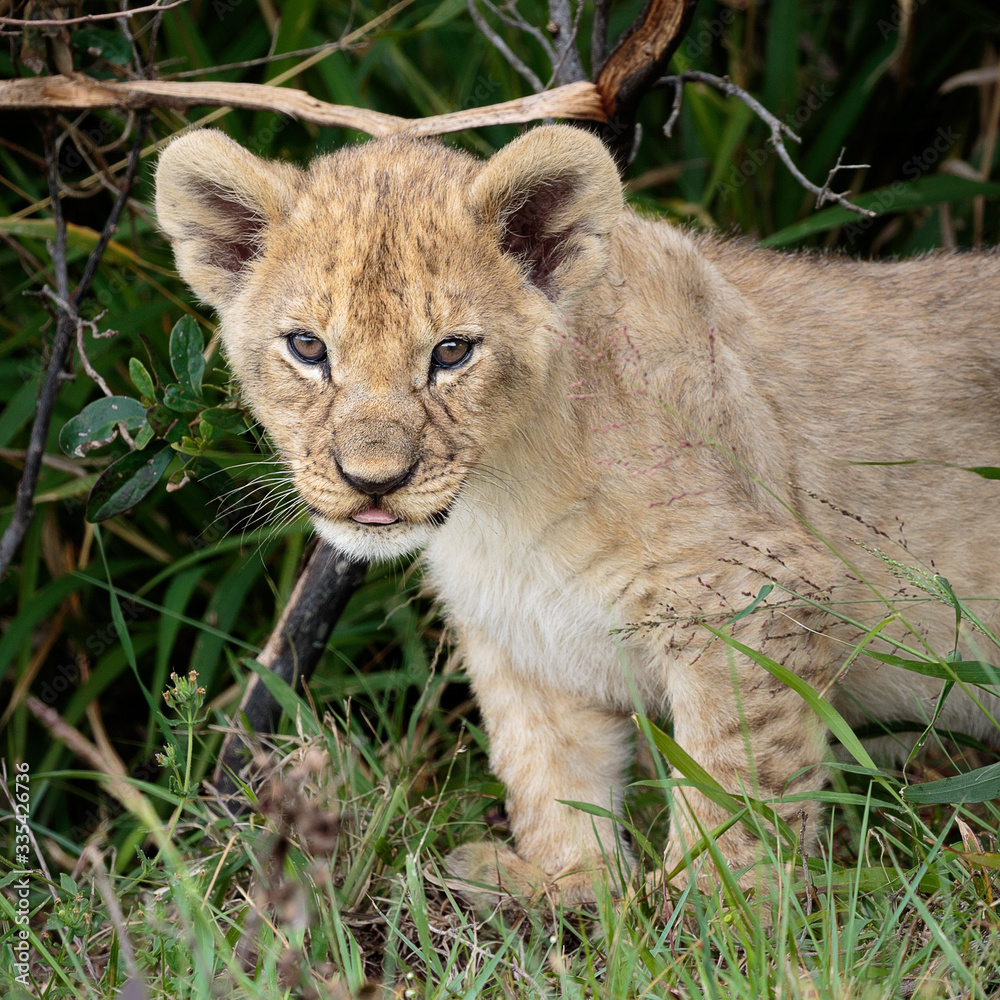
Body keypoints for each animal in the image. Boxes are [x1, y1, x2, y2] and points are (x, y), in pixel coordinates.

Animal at [155, 124, 1000, 905]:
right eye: (307, 347)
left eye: (452, 352)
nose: (373, 481)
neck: (500, 503)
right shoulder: (525, 637)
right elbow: (547, 770)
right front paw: (568, 886)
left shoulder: (760, 594)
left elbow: (732, 789)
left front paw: (704, 916)